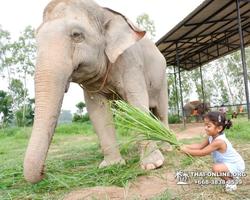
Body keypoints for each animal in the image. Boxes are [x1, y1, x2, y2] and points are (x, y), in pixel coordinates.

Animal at [23, 0, 170, 184]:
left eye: (76, 35)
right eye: (35, 42)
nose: (44, 169)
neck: (103, 11)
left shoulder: (131, 62)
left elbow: (137, 104)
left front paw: (153, 165)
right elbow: (98, 112)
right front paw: (112, 166)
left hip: (162, 79)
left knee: (161, 113)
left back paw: (166, 149)